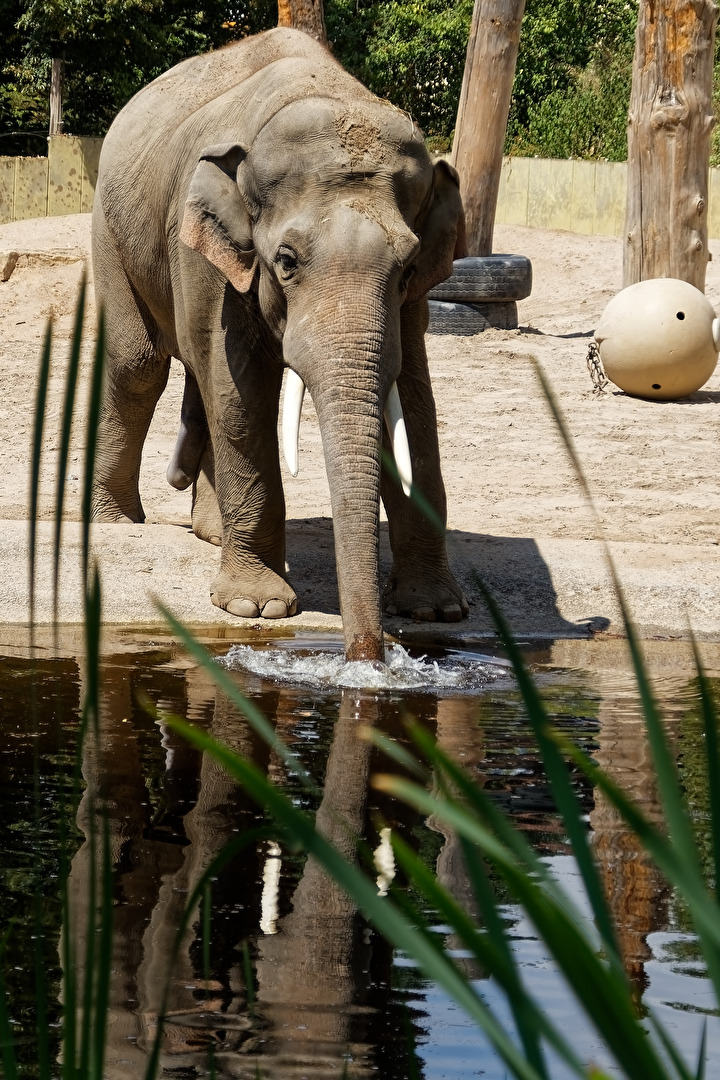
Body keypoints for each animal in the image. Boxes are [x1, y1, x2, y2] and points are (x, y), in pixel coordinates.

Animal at [91, 26, 469, 661]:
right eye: (286, 262)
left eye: (408, 266)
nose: (368, 658)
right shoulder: (209, 259)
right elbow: (240, 395)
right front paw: (256, 607)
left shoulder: (415, 301)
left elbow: (416, 403)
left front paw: (435, 610)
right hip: (111, 231)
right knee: (138, 366)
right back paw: (114, 523)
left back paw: (210, 532)